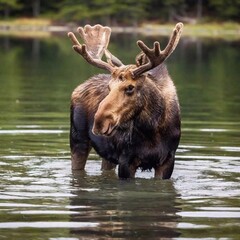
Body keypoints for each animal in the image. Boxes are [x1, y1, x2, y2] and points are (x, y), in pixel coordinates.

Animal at [66, 23, 183, 180]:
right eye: (109, 87)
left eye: (130, 87)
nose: (99, 122)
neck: (152, 129)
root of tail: (79, 86)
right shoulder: (126, 159)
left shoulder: (168, 160)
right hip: (78, 140)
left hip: (107, 153)